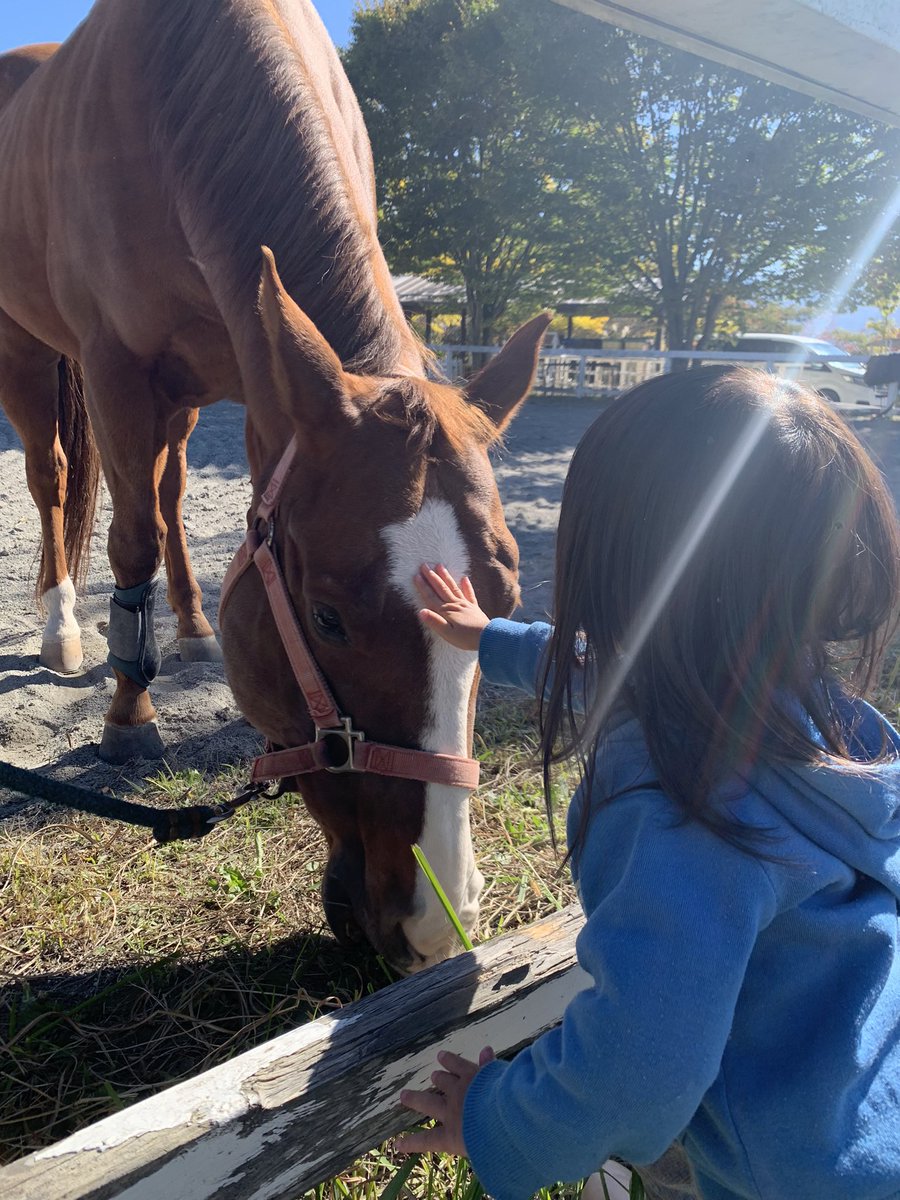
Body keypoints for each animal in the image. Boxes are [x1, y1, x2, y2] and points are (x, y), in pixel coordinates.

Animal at [0, 0, 548, 970]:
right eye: (326, 617)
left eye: (505, 602)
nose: (434, 921)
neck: (182, 86)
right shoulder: (115, 367)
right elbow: (128, 541)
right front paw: (128, 716)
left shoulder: (252, 373)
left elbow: (166, 511)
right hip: (29, 349)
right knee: (55, 476)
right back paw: (63, 626)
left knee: (170, 489)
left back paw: (186, 630)